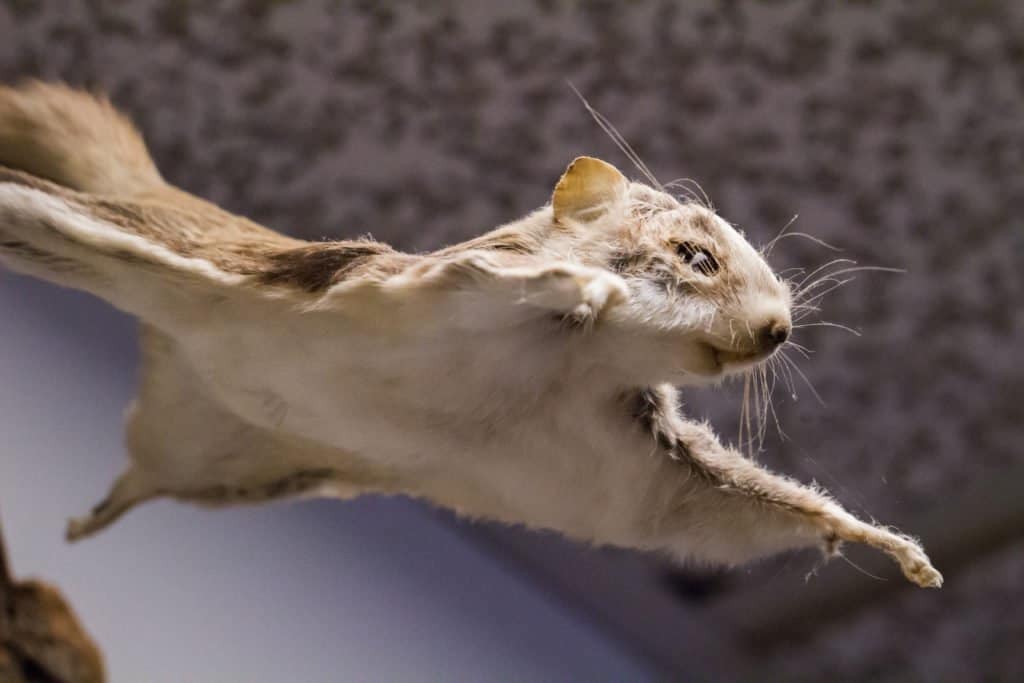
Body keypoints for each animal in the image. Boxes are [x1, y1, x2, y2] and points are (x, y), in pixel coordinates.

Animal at [0, 81, 942, 589]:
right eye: (695, 255)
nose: (779, 330)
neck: (565, 370)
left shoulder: (639, 459)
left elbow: (730, 506)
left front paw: (888, 545)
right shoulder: (416, 288)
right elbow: (497, 282)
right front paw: (585, 288)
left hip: (217, 462)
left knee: (139, 482)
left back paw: (94, 516)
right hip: (150, 252)